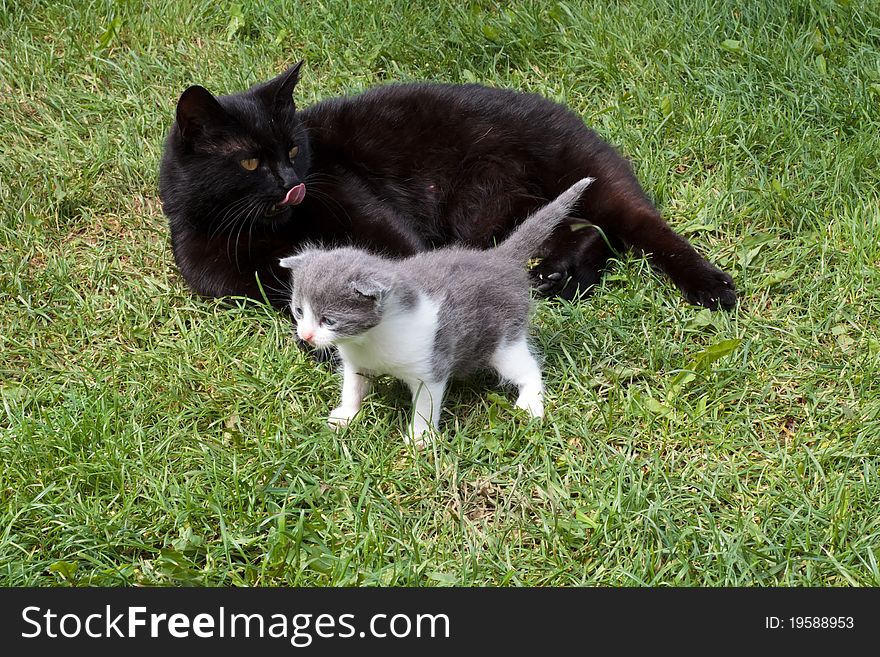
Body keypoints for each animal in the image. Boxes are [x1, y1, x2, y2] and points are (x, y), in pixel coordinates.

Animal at [160, 62, 736, 314]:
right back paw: (558, 279)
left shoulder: (380, 225)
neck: (260, 230)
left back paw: (711, 288)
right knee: (590, 232)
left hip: (546, 193)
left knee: (642, 230)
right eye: (251, 161)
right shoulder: (240, 281)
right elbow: (290, 292)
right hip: (497, 216)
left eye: (294, 150)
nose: (292, 181)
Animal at [280, 176, 600, 446]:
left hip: (504, 342)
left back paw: (531, 403)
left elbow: (425, 406)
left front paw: (420, 439)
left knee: (528, 367)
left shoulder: (430, 368)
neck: (369, 339)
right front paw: (347, 415)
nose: (305, 336)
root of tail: (499, 258)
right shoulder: (357, 363)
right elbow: (353, 386)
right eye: (298, 311)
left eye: (328, 320)